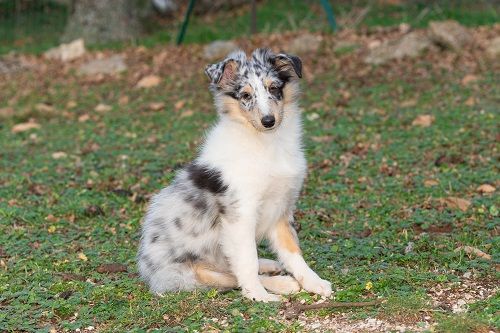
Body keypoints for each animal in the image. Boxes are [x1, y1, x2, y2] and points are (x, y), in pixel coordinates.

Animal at [137, 47, 332, 300]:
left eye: (274, 88)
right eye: (246, 96)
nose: (268, 121)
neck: (266, 144)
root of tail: (149, 273)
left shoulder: (281, 207)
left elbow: (292, 251)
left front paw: (314, 282)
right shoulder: (240, 214)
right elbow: (247, 262)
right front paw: (259, 296)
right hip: (192, 271)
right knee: (229, 274)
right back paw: (279, 284)